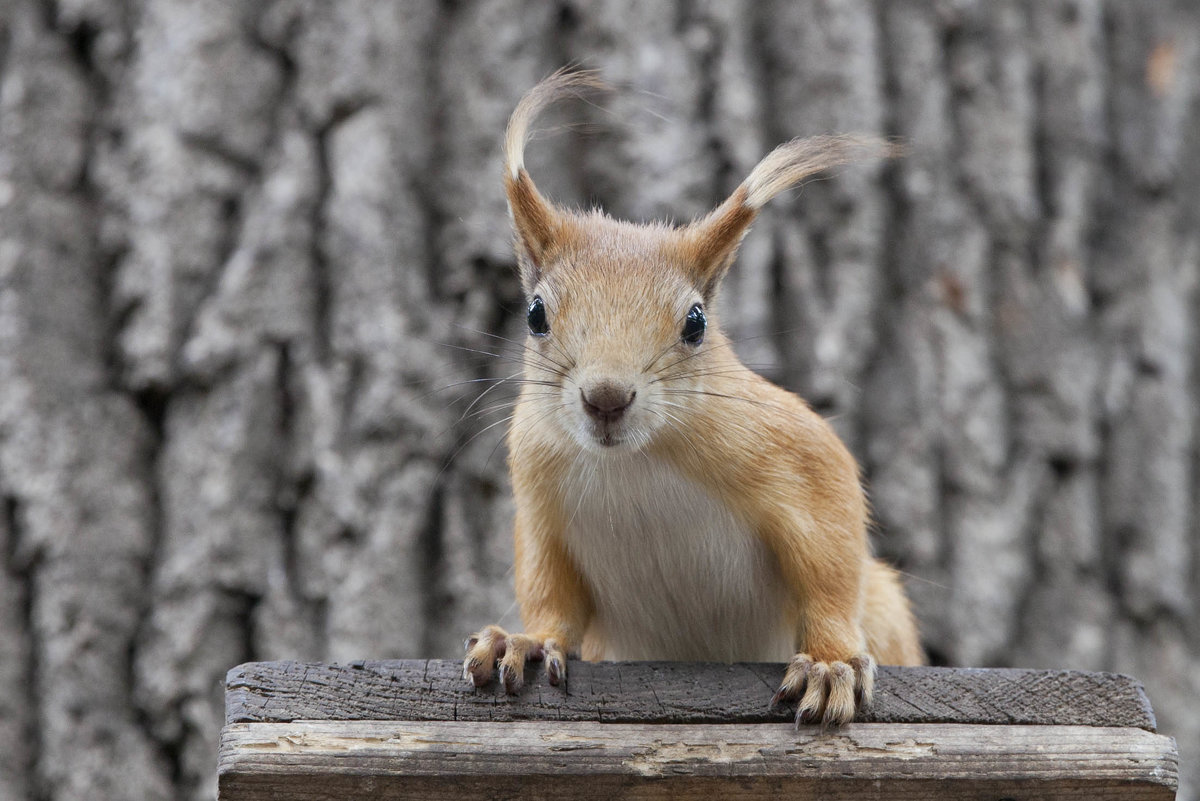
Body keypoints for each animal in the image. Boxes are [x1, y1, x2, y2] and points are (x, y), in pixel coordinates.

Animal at [463, 71, 921, 729]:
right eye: (535, 314)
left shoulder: (799, 454)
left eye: (696, 322)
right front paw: (522, 641)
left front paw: (830, 663)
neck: (634, 462)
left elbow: (830, 562)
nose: (606, 399)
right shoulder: (539, 496)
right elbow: (550, 592)